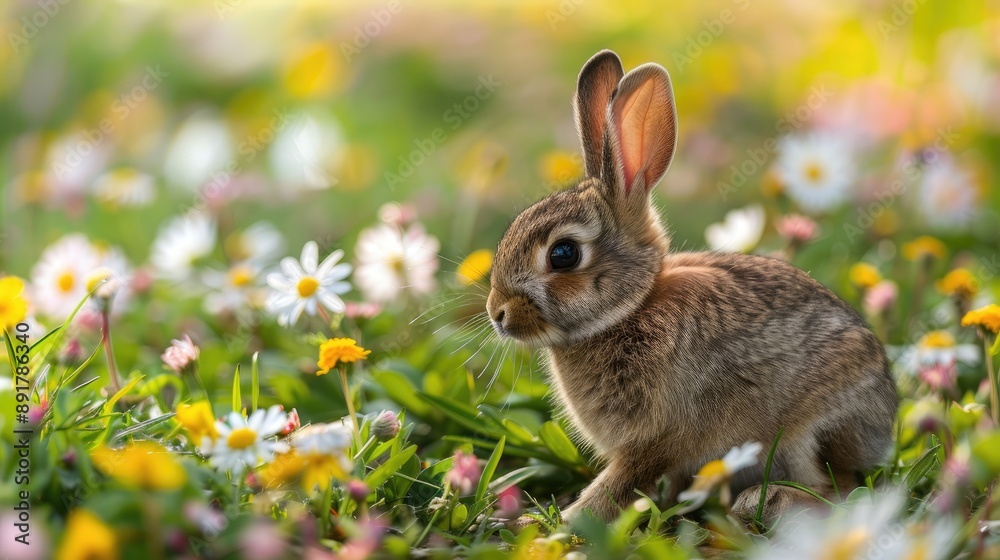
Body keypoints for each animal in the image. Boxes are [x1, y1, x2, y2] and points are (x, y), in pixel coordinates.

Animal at [485, 49, 898, 523]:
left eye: (564, 254)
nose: (497, 313)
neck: (631, 308)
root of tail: (886, 419)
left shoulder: (657, 440)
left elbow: (616, 485)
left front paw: (555, 522)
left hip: (812, 432)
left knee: (843, 488)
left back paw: (766, 500)